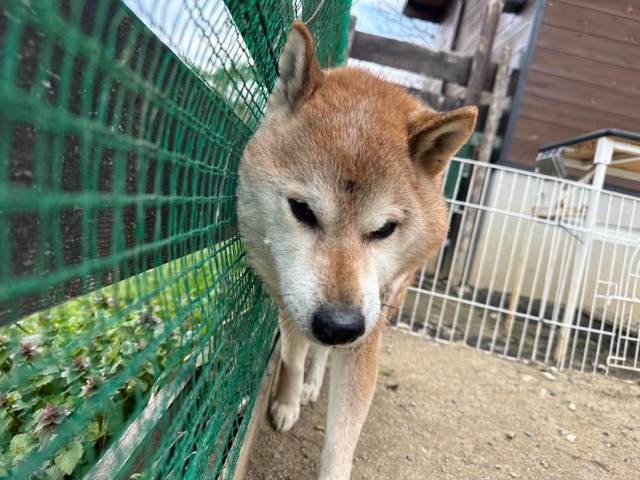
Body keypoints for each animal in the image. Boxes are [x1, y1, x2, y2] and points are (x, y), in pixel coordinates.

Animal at [236, 20, 477, 480]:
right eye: (302, 210)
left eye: (384, 229)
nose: (340, 325)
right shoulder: (288, 301)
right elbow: (293, 355)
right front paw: (286, 401)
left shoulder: (370, 329)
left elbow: (342, 437)